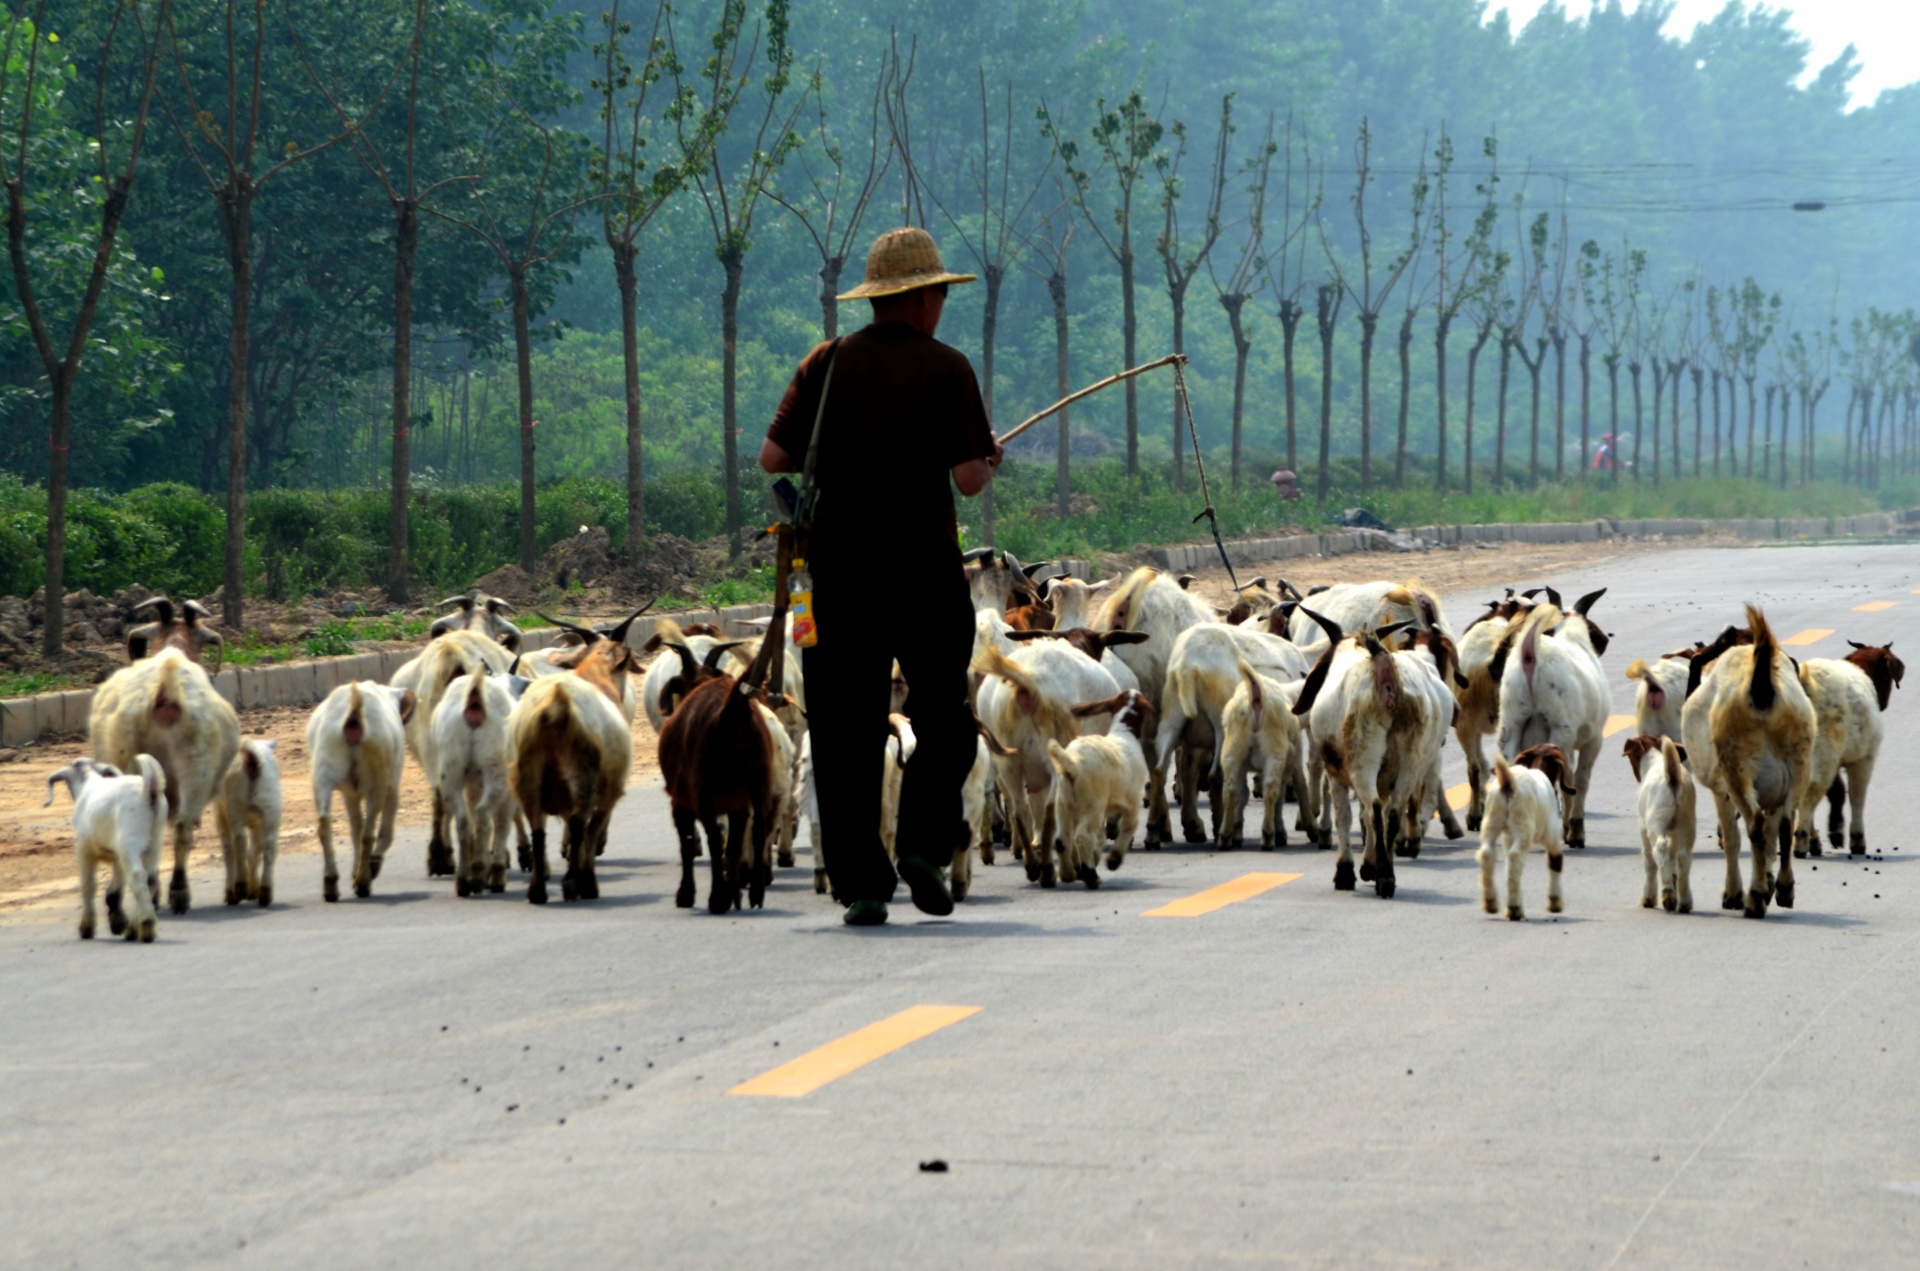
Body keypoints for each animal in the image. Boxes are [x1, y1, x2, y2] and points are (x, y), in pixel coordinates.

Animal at [48, 756, 167, 944]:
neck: (88, 780)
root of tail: (149, 789)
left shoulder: (84, 850)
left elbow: (88, 885)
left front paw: (87, 928)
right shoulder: (117, 855)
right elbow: (115, 889)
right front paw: (117, 921)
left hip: (130, 842)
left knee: (137, 876)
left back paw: (146, 925)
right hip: (154, 843)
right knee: (150, 880)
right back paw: (134, 928)